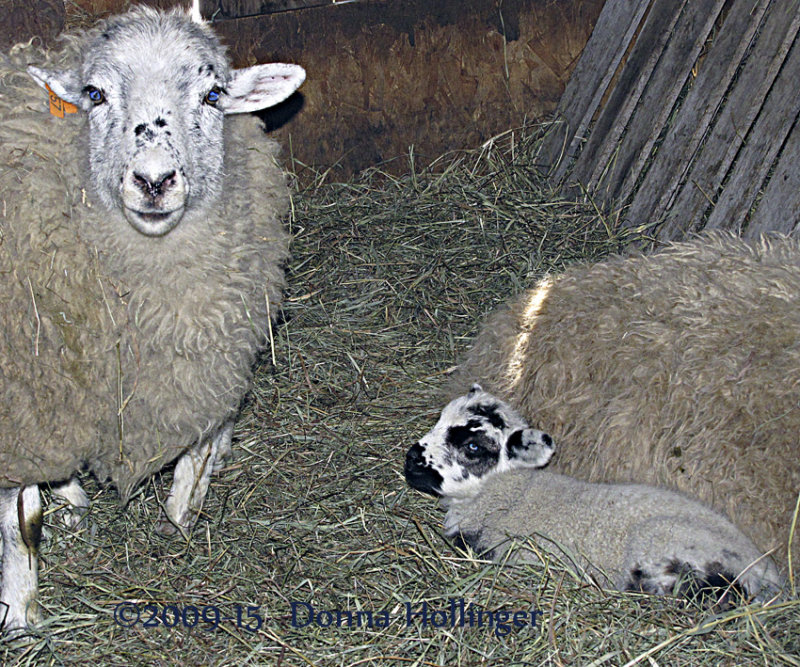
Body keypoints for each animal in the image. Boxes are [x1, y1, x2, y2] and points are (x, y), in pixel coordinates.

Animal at [0, 6, 306, 632]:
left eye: (213, 94)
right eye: (94, 94)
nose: (155, 181)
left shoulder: (213, 345)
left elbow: (205, 435)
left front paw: (185, 506)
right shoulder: (21, 399)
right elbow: (18, 521)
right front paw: (18, 610)